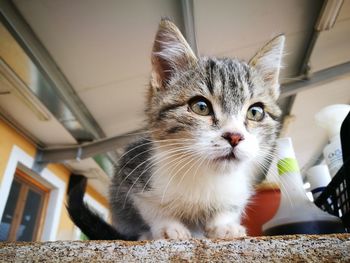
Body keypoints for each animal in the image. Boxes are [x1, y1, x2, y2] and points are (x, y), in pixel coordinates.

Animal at [67, 19, 284, 241]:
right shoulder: (130, 167)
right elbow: (149, 206)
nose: (234, 136)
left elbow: (230, 206)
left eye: (255, 112)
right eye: (201, 107)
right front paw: (168, 227)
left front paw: (225, 225)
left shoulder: (239, 188)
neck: (203, 175)